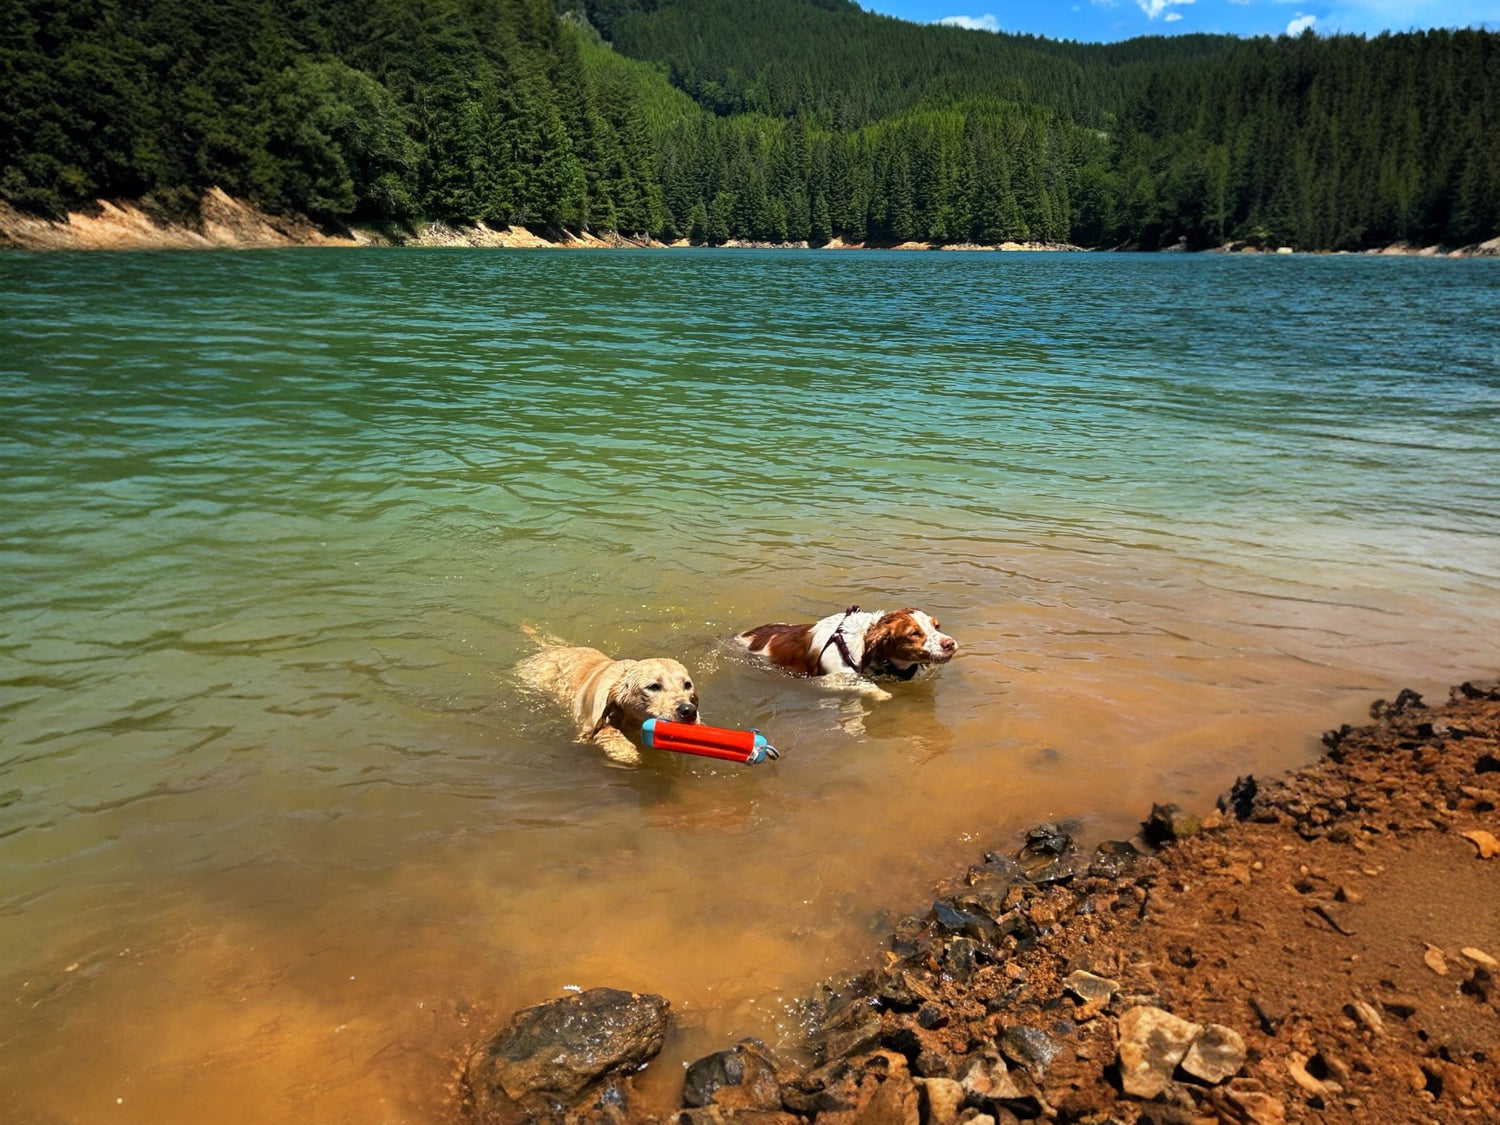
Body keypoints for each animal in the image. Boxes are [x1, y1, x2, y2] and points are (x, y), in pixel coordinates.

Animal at [516, 648, 702, 774]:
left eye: (687, 685)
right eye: (653, 686)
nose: (689, 711)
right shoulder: (589, 728)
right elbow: (608, 732)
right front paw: (626, 752)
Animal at [729, 609, 954, 696]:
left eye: (936, 626)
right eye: (913, 633)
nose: (950, 644)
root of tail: (747, 634)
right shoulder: (832, 678)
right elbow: (865, 685)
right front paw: (882, 694)